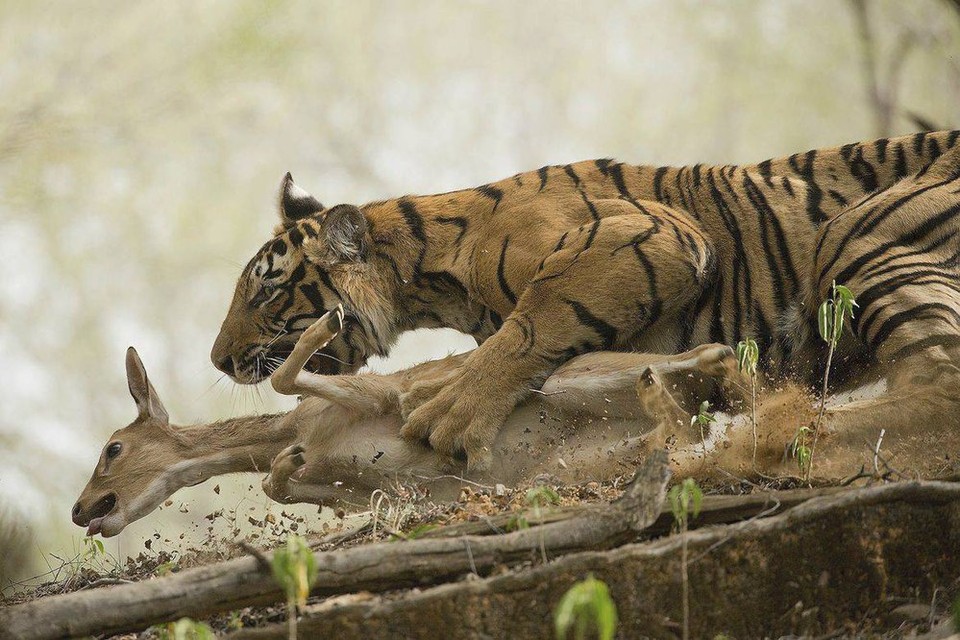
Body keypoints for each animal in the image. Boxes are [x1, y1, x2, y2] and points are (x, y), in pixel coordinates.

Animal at [210, 130, 960, 470]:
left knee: (937, 389)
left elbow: (533, 322)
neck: (434, 273)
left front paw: (453, 412)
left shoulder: (652, 233)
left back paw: (761, 438)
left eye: (266, 288)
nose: (218, 361)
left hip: (859, 236)